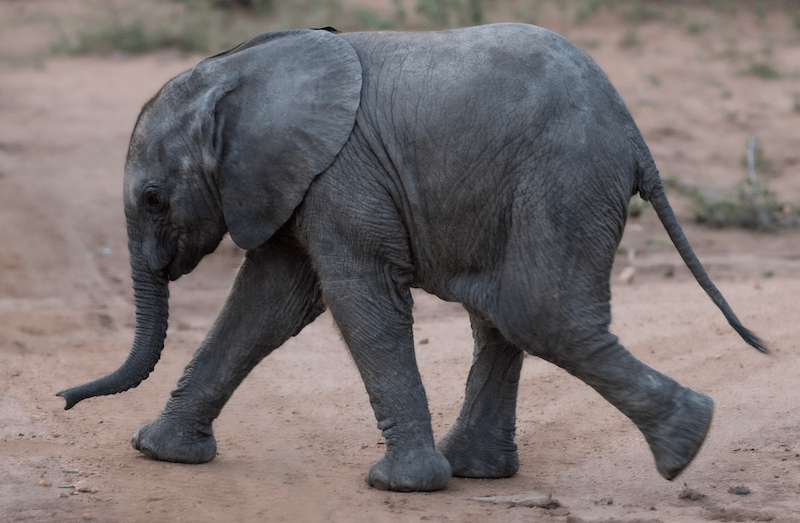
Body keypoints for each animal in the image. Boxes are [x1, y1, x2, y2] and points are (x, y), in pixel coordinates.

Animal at [57, 23, 765, 492]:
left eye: (153, 199)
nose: (63, 400)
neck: (241, 75)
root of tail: (634, 134)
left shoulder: (341, 176)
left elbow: (356, 299)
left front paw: (400, 486)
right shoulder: (297, 183)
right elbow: (267, 302)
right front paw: (159, 453)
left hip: (567, 177)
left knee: (539, 312)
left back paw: (686, 444)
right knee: (504, 314)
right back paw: (481, 471)